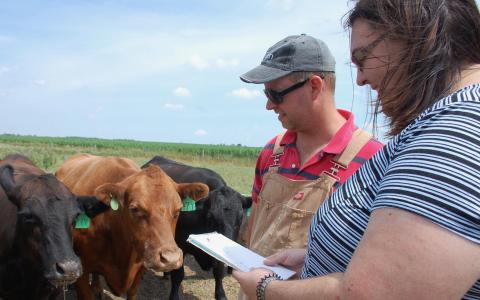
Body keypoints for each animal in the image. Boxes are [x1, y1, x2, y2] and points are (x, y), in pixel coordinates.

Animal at [55, 155, 209, 300]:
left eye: (178, 210)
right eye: (135, 209)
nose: (170, 259)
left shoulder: (140, 269)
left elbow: (132, 292)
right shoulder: (81, 270)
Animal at [142, 156, 253, 300]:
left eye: (240, 217)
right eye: (211, 217)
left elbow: (219, 272)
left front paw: (221, 295)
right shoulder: (180, 244)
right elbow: (178, 275)